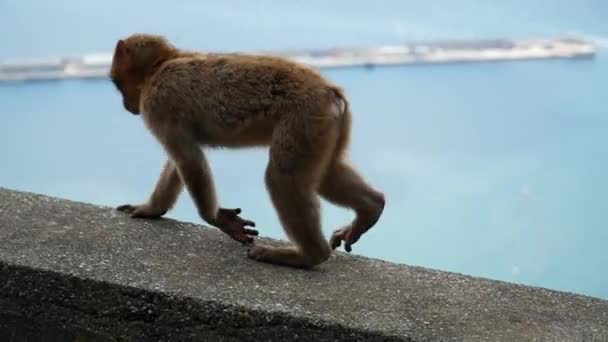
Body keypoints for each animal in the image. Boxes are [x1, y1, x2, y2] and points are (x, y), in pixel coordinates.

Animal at [110, 34, 384, 270]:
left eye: (116, 82)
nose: (126, 105)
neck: (162, 65)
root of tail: (331, 92)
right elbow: (179, 161)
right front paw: (151, 209)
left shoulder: (158, 101)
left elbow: (188, 159)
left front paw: (216, 219)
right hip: (326, 127)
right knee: (327, 174)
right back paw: (372, 207)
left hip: (304, 119)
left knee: (283, 178)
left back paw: (308, 256)